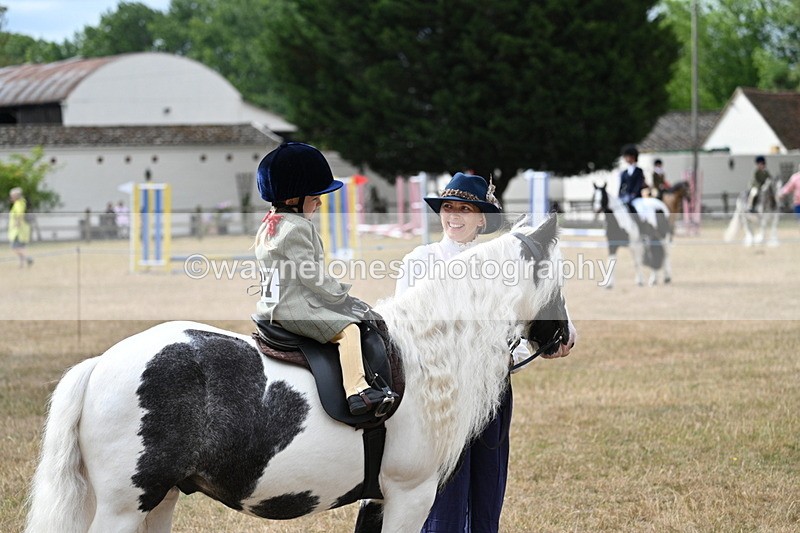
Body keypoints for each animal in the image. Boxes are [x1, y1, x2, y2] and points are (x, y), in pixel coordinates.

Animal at [25, 215, 576, 533]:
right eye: (559, 276)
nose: (564, 338)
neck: (422, 355)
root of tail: (100, 366)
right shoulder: (409, 496)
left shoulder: (380, 501)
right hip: (126, 506)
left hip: (159, 501)